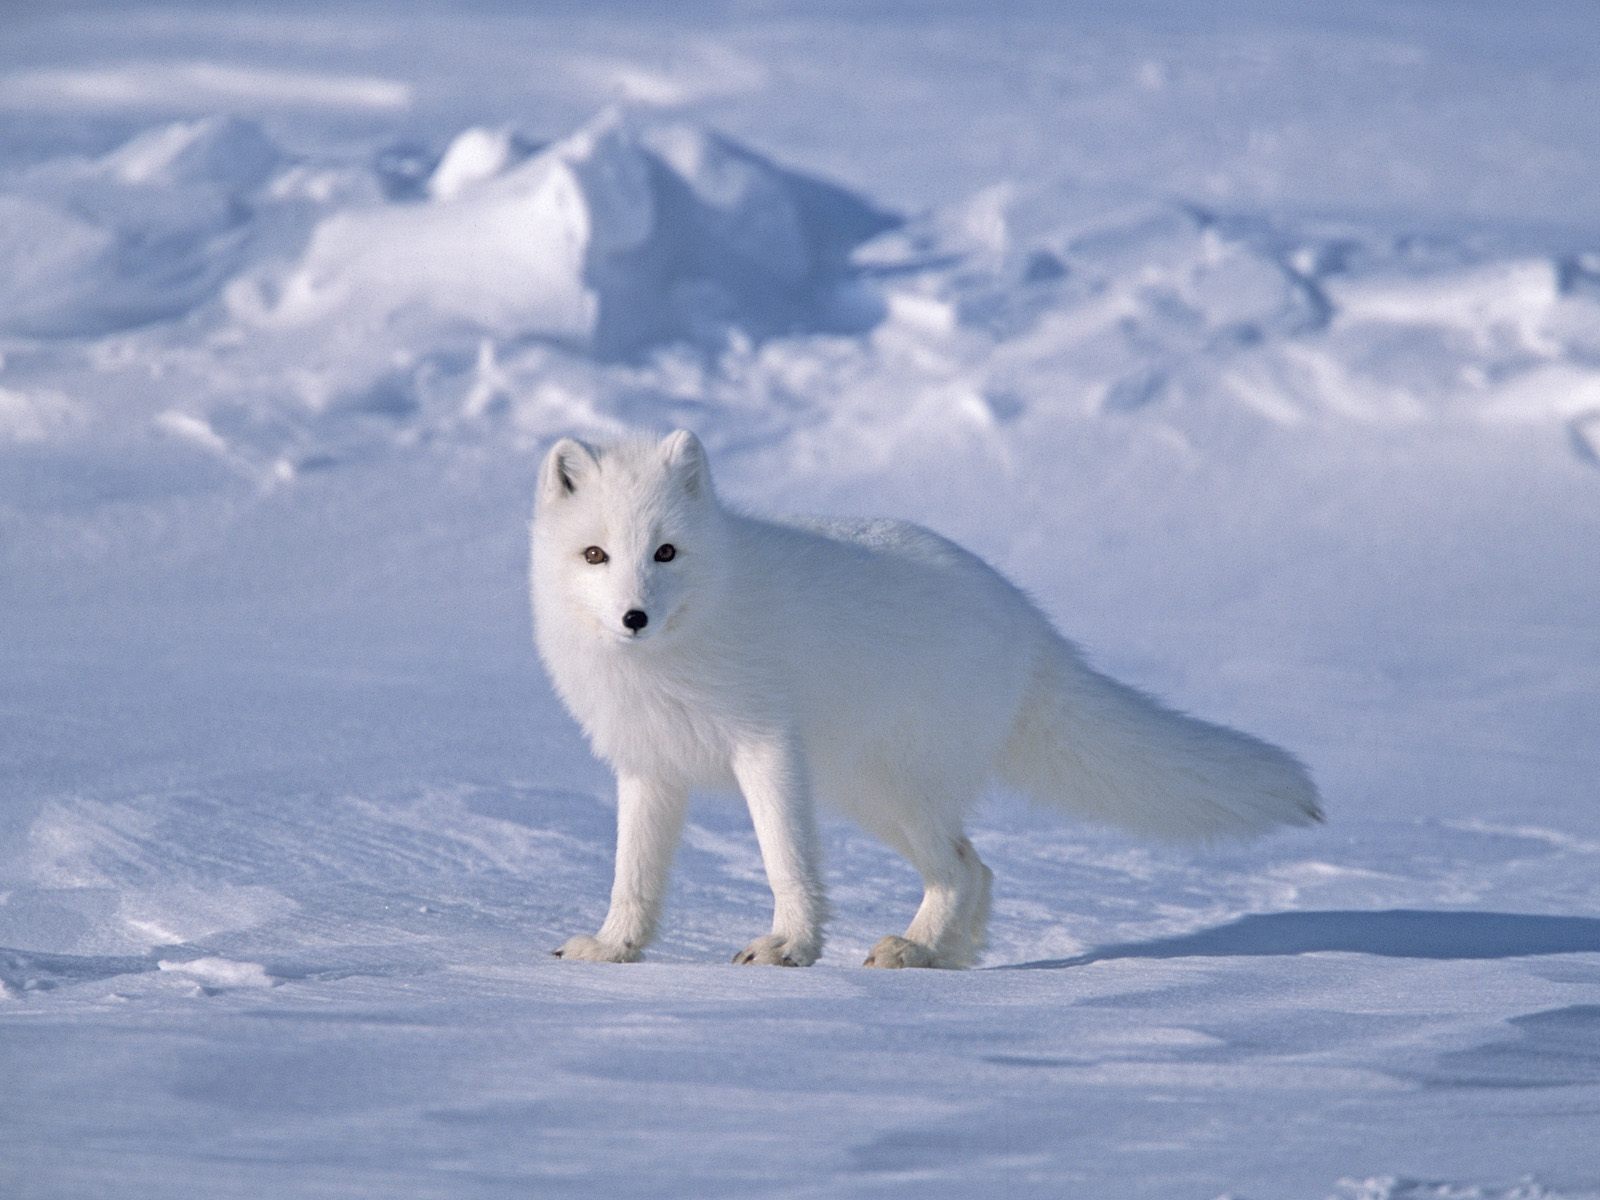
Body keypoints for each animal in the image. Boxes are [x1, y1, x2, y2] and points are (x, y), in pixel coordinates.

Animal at [531, 428, 1318, 966]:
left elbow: (786, 860)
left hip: (892, 789)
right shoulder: (649, 767)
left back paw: (916, 949)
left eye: (665, 552)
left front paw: (789, 947)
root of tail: (1030, 623)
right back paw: (943, 956)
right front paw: (613, 948)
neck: (677, 650)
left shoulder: (766, 748)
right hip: (870, 795)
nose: (634, 617)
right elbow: (632, 875)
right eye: (596, 555)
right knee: (979, 868)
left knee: (964, 867)